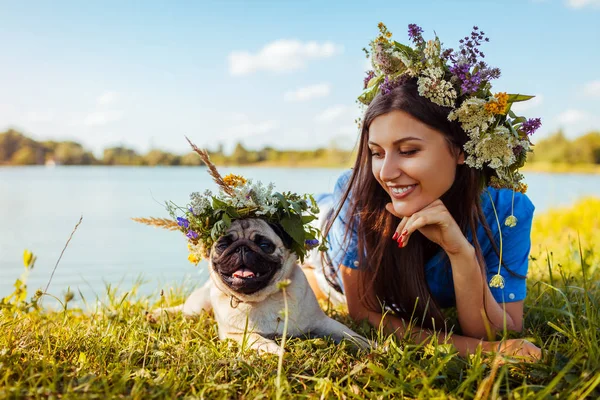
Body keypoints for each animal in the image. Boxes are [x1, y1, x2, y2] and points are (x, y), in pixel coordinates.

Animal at [148, 219, 368, 354]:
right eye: (223, 245)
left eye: (264, 245)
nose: (242, 248)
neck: (261, 299)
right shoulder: (235, 335)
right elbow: (258, 339)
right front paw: (275, 351)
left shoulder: (322, 323)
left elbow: (350, 334)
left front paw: (371, 346)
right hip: (198, 307)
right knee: (181, 311)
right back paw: (157, 314)